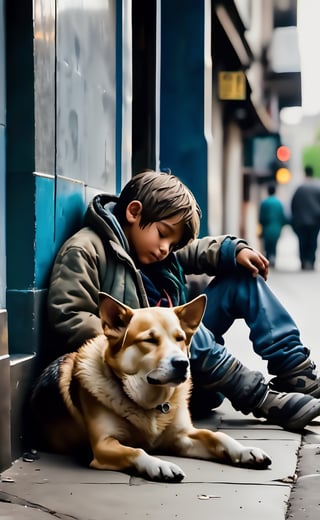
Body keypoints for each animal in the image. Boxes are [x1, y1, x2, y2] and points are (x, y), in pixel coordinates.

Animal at [31, 292, 272, 484]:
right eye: (149, 340)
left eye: (180, 338)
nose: (182, 363)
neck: (150, 402)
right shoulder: (103, 445)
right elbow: (135, 451)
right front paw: (160, 465)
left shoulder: (182, 437)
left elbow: (217, 436)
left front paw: (245, 450)